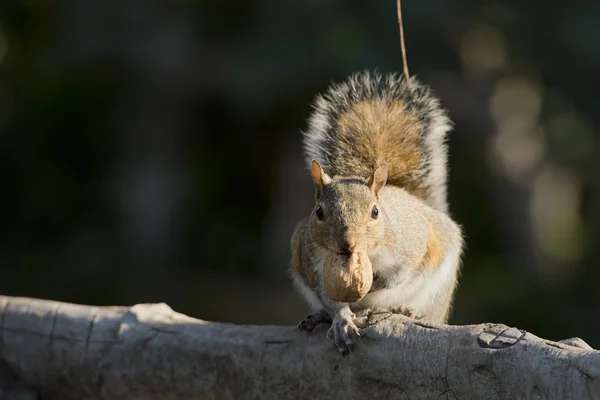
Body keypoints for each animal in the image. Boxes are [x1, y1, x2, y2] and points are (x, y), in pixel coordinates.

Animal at [290, 71, 464, 356]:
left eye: (374, 212)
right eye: (319, 212)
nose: (347, 244)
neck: (367, 255)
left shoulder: (412, 242)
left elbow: (401, 273)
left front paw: (374, 285)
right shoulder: (312, 260)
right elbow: (329, 295)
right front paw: (342, 320)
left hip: (439, 287)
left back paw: (410, 310)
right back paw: (320, 315)